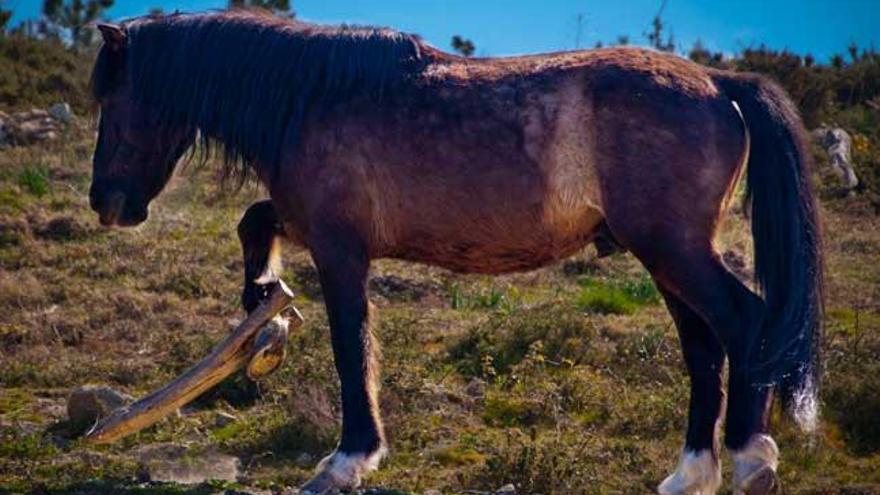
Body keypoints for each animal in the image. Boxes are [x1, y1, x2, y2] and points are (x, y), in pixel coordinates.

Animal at [86, 11, 820, 495]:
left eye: (114, 99)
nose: (107, 203)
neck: (313, 95)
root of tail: (720, 83)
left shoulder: (340, 250)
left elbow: (352, 348)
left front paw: (349, 458)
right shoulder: (308, 223)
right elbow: (254, 222)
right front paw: (264, 314)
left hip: (674, 250)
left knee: (745, 323)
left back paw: (752, 458)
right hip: (667, 257)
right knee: (704, 346)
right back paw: (691, 471)